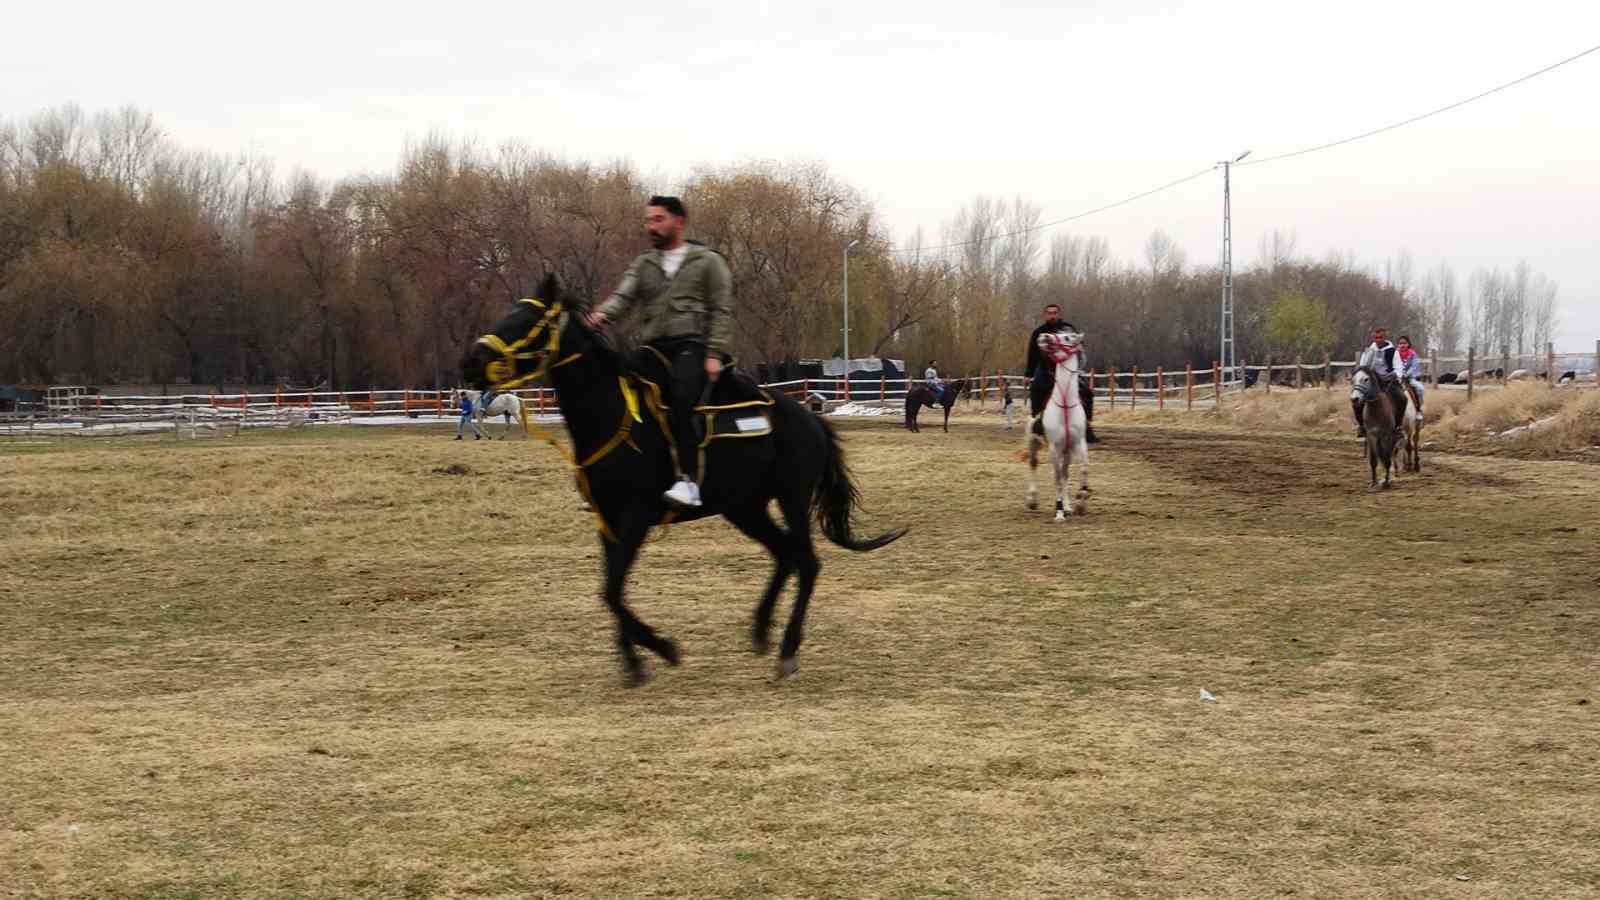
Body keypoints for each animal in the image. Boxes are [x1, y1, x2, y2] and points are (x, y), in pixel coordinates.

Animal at [464, 272, 908, 679]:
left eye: (526, 320)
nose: (470, 361)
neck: (613, 417)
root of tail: (811, 419)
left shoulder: (635, 517)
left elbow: (612, 588)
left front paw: (661, 648)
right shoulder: (607, 519)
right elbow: (611, 588)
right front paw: (635, 660)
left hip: (791, 498)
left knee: (807, 561)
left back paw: (786, 648)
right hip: (745, 507)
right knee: (785, 554)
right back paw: (761, 629)